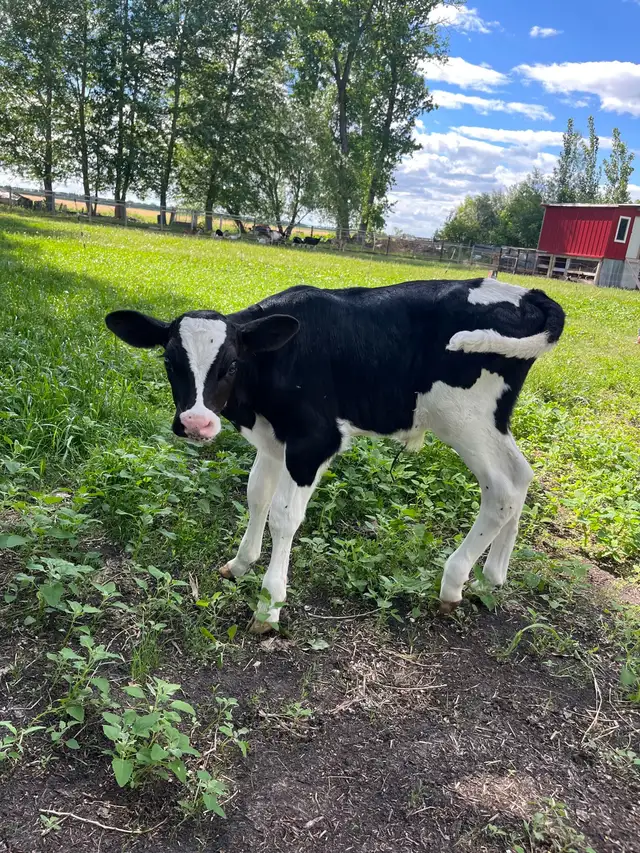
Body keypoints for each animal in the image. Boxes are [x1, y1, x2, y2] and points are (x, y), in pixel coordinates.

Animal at [105, 278, 565, 633]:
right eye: (169, 360)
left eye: (231, 364)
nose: (196, 423)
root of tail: (526, 293)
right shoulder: (273, 439)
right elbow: (256, 496)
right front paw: (239, 564)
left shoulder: (314, 440)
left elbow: (284, 516)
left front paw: (269, 607)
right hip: (489, 420)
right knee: (522, 476)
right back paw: (491, 577)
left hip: (464, 418)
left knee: (502, 489)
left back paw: (453, 583)